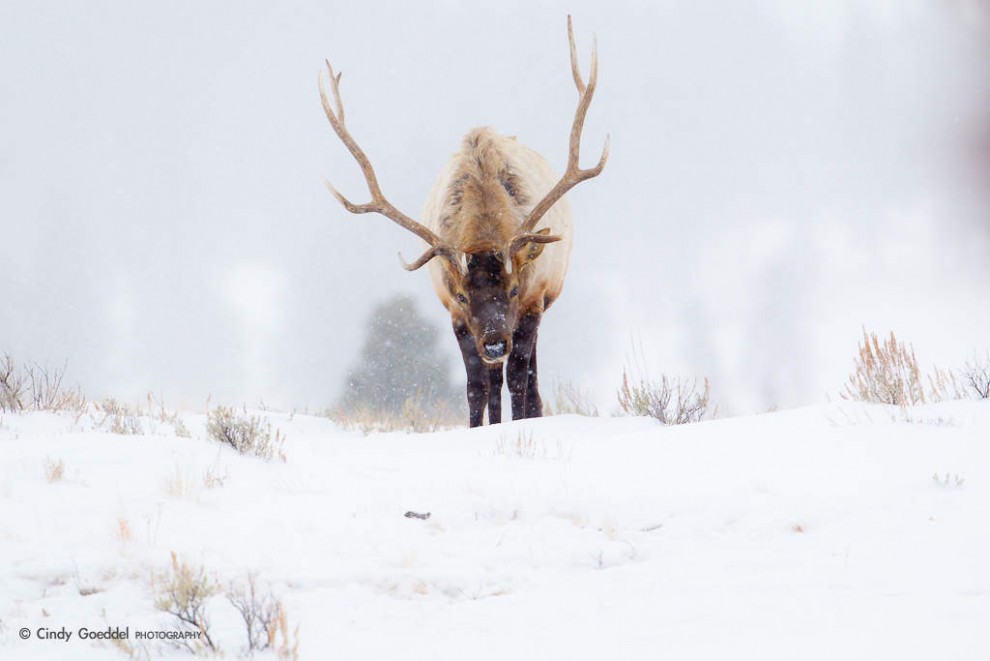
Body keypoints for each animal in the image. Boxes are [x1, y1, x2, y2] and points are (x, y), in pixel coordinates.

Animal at [322, 18, 608, 428]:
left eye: (513, 289)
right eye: (461, 294)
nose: (494, 342)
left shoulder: (533, 301)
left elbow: (520, 380)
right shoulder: (457, 316)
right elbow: (476, 388)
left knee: (528, 381)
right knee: (493, 381)